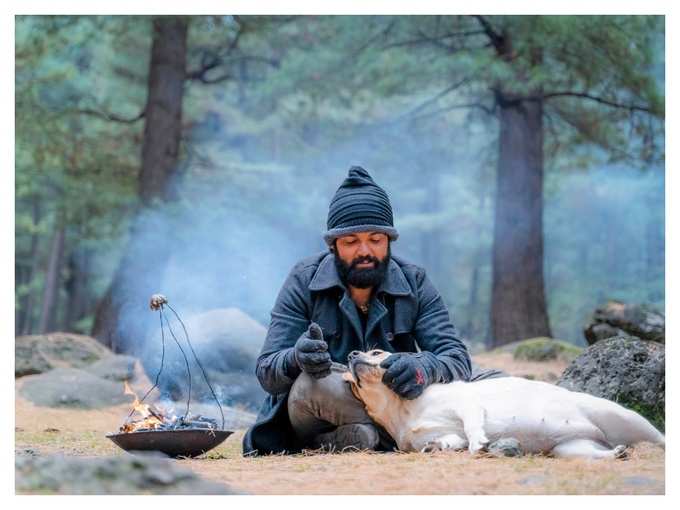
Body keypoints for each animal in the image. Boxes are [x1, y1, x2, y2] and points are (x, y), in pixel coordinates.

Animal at [342, 348, 660, 460]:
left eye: (377, 352)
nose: (351, 353)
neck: (400, 409)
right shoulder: (445, 433)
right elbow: (449, 440)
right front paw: (436, 447)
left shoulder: (466, 403)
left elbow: (471, 426)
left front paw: (478, 443)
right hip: (571, 449)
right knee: (596, 453)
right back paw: (616, 453)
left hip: (622, 416)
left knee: (660, 438)